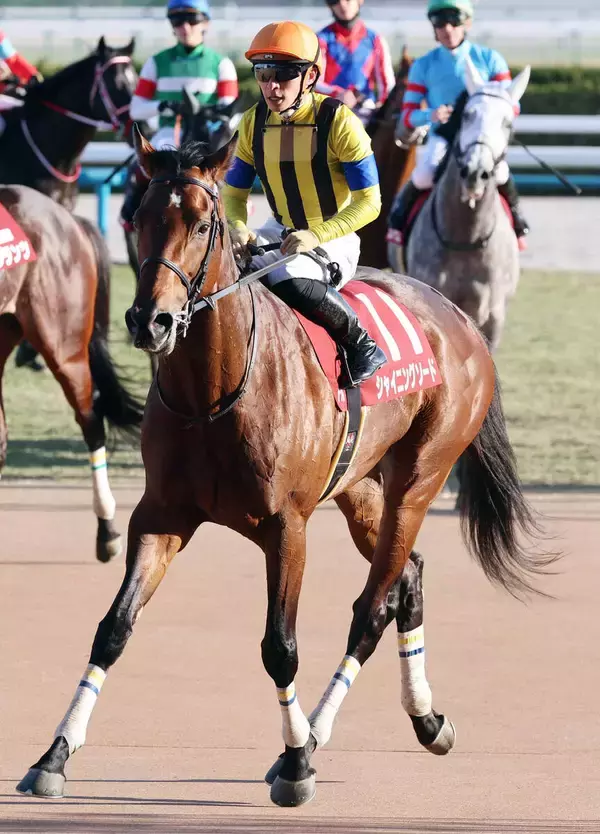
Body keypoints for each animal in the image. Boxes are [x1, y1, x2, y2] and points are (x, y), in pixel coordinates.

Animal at [16, 130, 555, 807]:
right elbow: (113, 629)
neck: (214, 395)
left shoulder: (286, 527)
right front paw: (55, 754)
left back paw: (317, 735)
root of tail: (460, 318)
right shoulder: (162, 516)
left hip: (418, 479)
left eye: (203, 224)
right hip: (361, 490)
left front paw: (297, 762)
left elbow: (281, 647)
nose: (151, 321)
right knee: (409, 578)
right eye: (138, 217)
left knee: (373, 607)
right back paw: (426, 719)